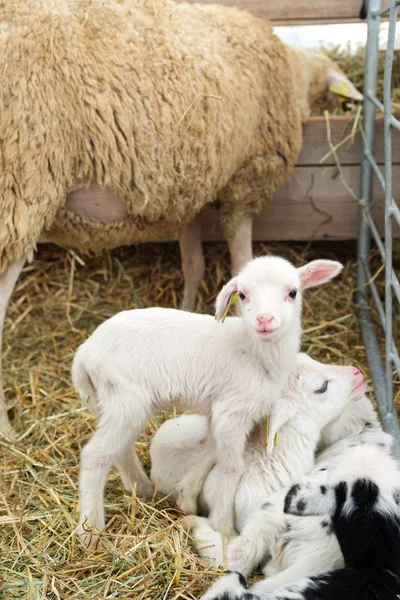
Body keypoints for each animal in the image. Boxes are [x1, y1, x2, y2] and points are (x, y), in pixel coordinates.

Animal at [72, 255, 340, 548]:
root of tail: (83, 355)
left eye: (292, 292)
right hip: (125, 397)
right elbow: (231, 467)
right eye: (242, 295)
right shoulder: (232, 410)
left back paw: (142, 489)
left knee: (119, 448)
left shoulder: (219, 410)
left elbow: (210, 449)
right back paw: (90, 531)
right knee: (95, 454)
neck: (255, 352)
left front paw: (186, 497)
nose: (265, 319)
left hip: (108, 400)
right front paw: (224, 527)